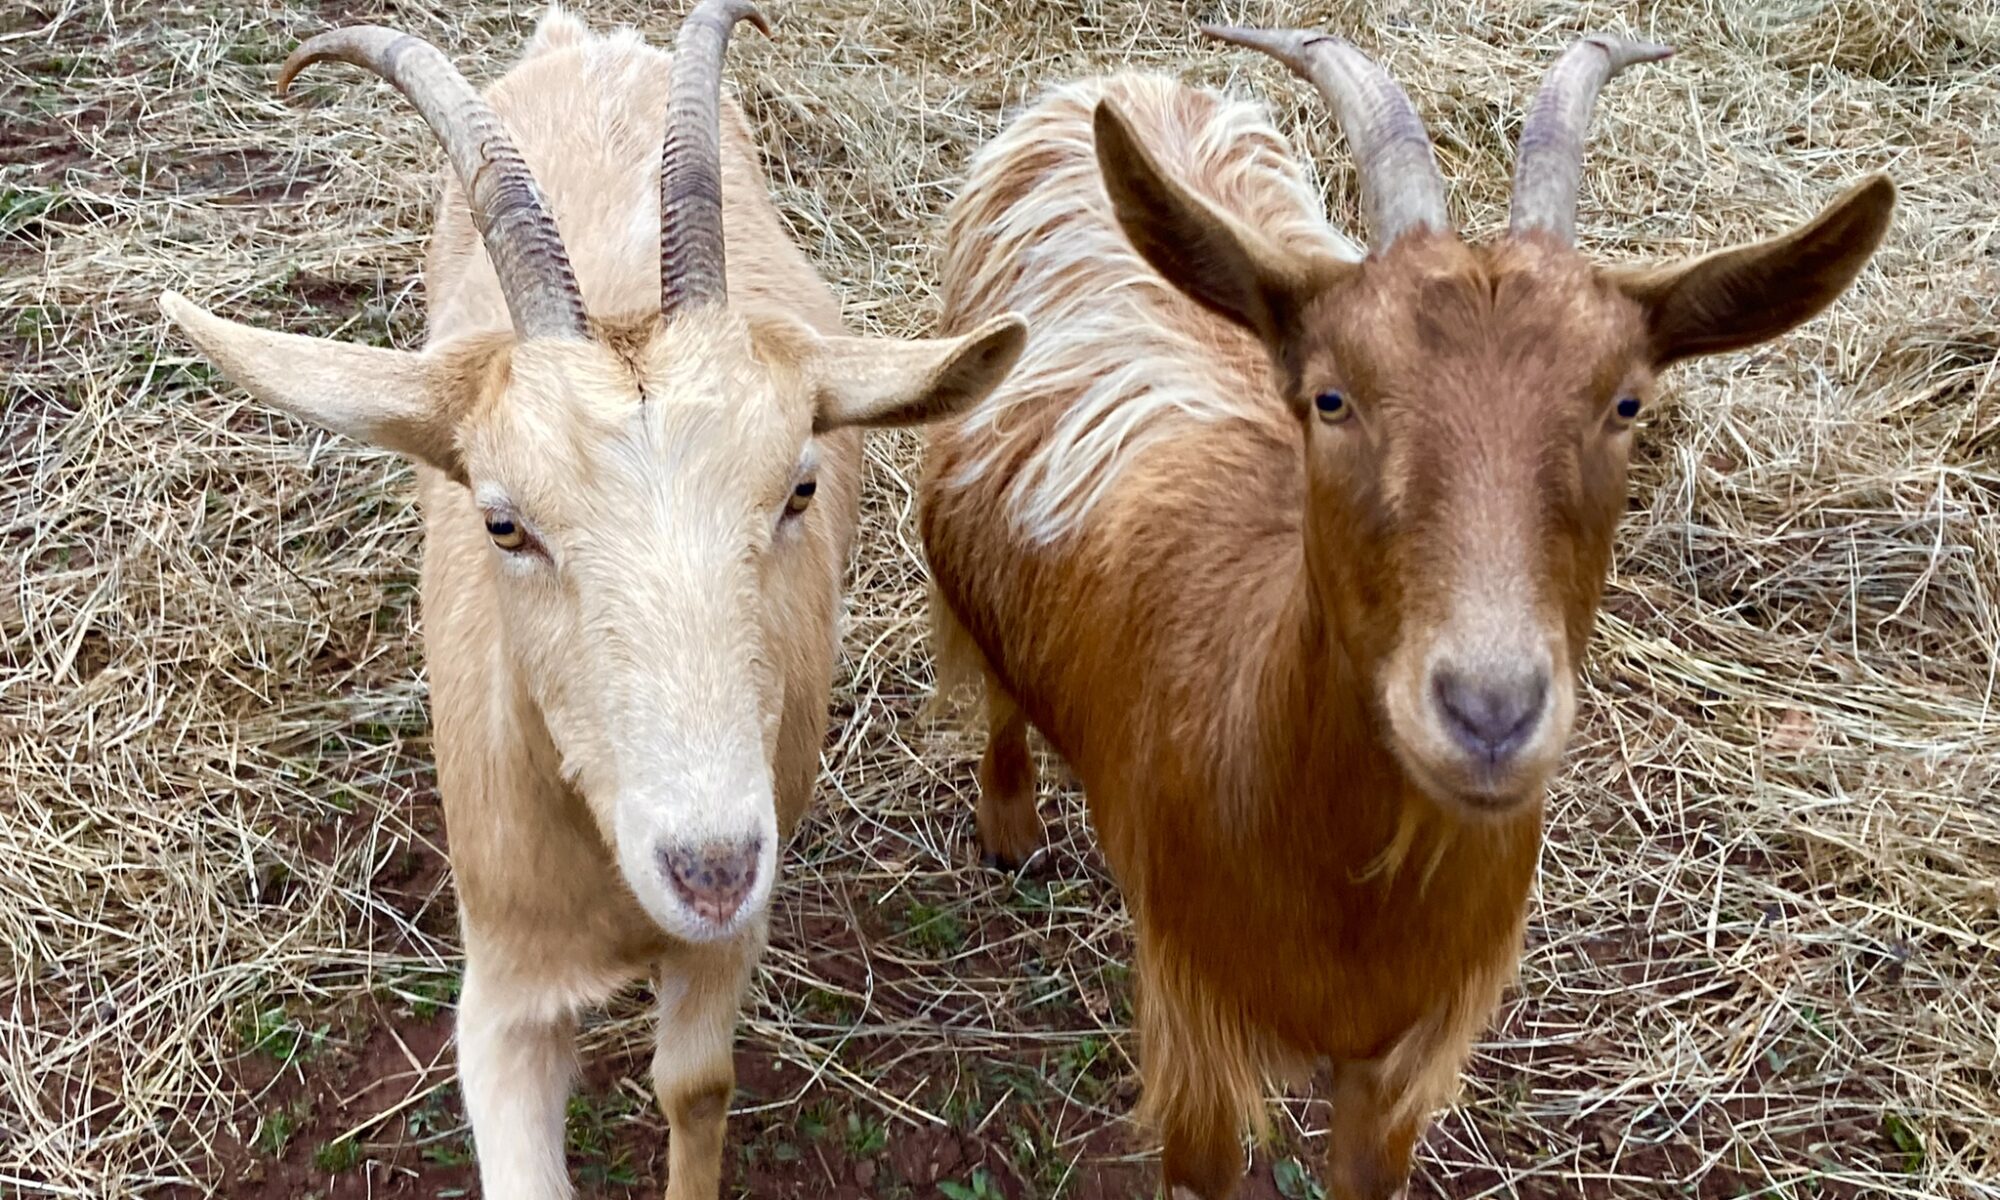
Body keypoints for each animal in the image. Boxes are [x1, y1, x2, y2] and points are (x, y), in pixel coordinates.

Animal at [160, 4, 1016, 1192]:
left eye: (798, 486)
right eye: (502, 522)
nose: (711, 868)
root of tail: (585, 37)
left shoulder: (724, 940)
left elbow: (694, 1086)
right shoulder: (501, 989)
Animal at [920, 21, 1888, 1200]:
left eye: (1625, 403)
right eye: (1330, 397)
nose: (1488, 711)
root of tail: (1118, 86)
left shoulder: (1398, 1058)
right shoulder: (1194, 1020)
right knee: (993, 683)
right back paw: (1012, 830)